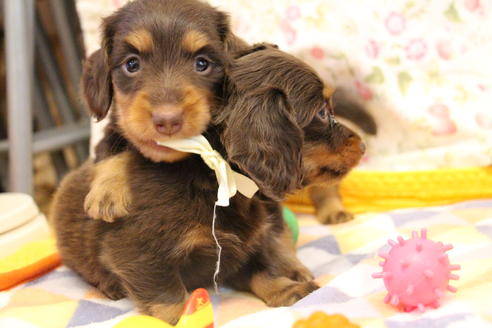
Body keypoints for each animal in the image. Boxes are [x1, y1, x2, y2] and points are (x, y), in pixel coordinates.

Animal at [51, 41, 366, 322]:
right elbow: (169, 299)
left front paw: (288, 290)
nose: (362, 145)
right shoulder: (138, 251)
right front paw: (185, 316)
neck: (215, 177)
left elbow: (262, 268)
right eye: (322, 113)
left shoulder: (243, 245)